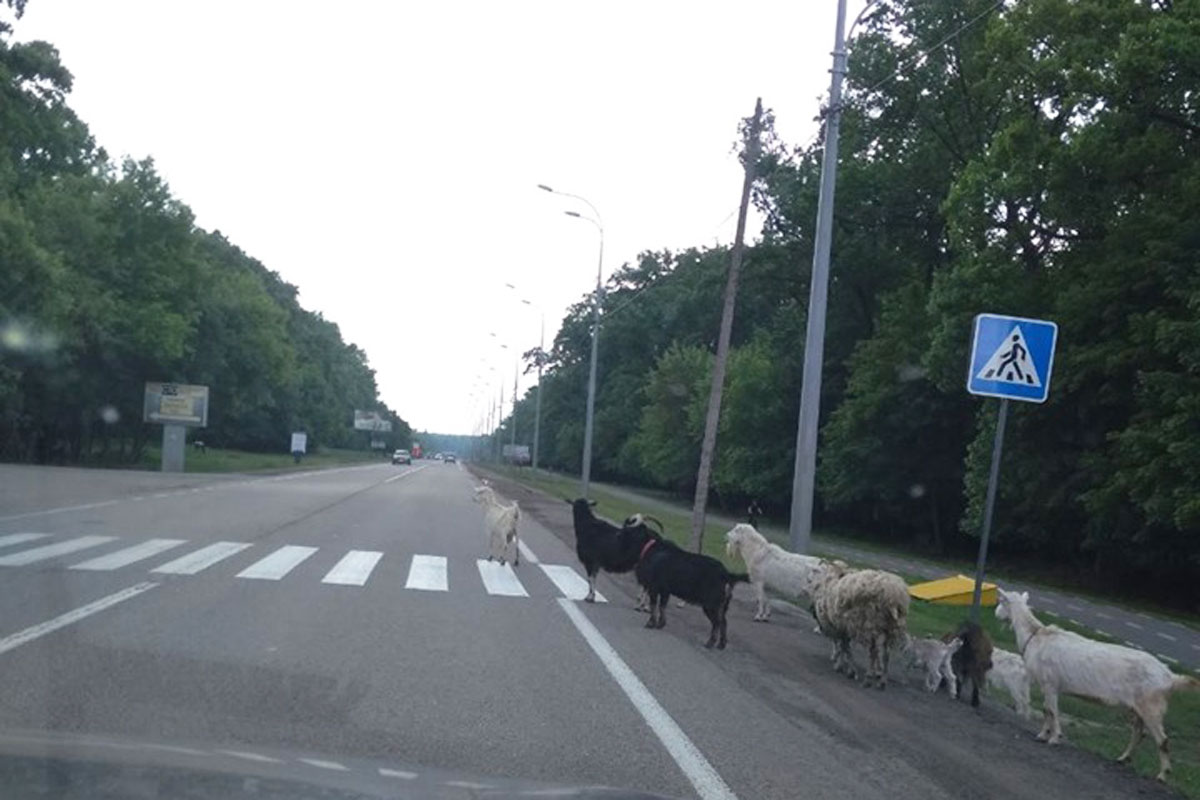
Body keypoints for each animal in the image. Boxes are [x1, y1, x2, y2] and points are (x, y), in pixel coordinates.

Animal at [993, 587, 1200, 782]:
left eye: (1001, 601)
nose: (996, 614)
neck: (1035, 635)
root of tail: (1169, 676)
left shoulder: (1050, 683)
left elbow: (1052, 711)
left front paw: (1054, 738)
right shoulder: (1048, 686)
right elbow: (1046, 711)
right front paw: (1043, 735)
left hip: (1151, 706)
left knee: (1163, 740)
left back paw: (1163, 774)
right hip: (1137, 707)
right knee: (1138, 732)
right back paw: (1123, 758)